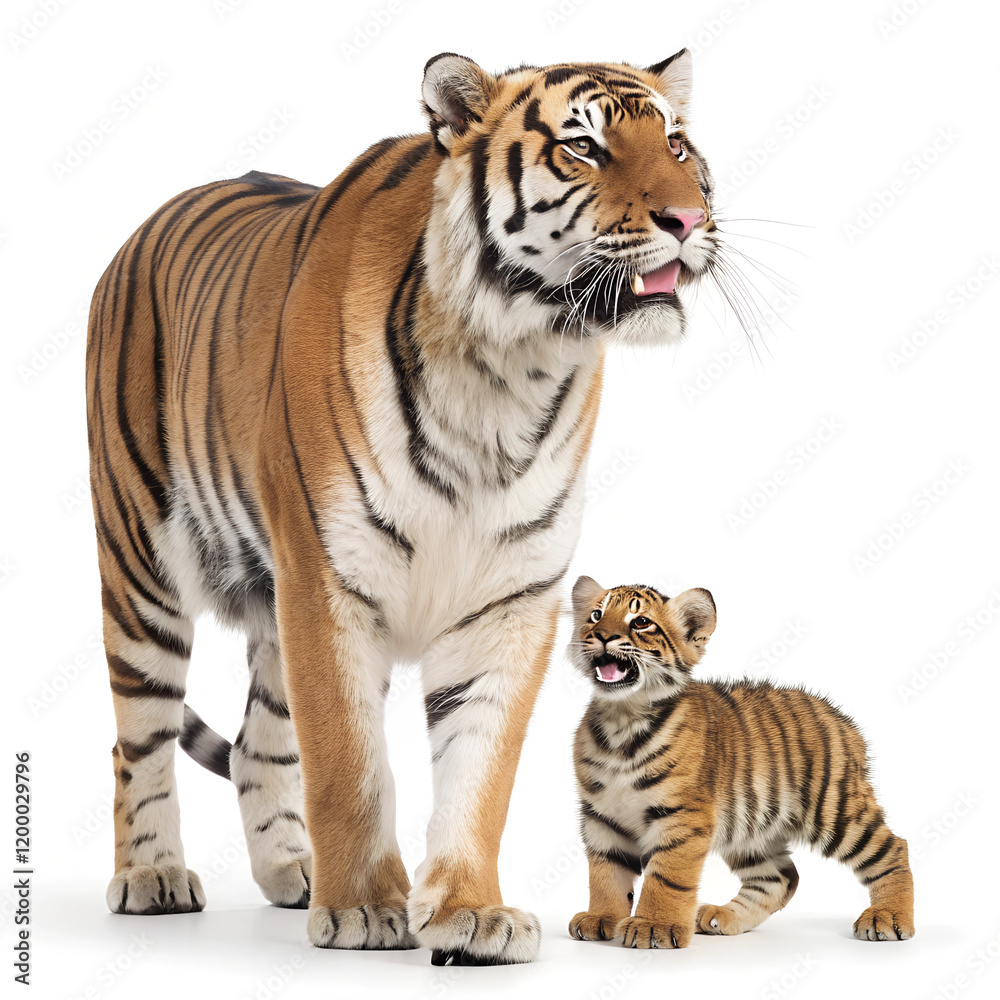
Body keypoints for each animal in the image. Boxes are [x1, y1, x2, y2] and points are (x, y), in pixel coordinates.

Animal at [86, 50, 719, 965]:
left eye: (675, 143)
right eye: (583, 148)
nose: (689, 217)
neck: (510, 363)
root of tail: (141, 227)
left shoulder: (509, 602)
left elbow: (479, 778)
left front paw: (472, 912)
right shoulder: (327, 583)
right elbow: (348, 764)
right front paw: (362, 909)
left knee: (255, 745)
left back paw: (292, 872)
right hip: (141, 571)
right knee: (138, 737)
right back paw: (152, 876)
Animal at [568, 577, 915, 948]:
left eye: (641, 622)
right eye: (595, 615)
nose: (601, 635)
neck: (621, 717)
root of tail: (843, 720)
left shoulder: (683, 815)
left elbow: (666, 876)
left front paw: (653, 926)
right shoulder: (601, 815)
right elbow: (606, 873)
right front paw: (601, 917)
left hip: (835, 810)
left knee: (893, 848)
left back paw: (889, 917)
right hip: (751, 829)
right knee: (781, 877)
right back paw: (721, 917)